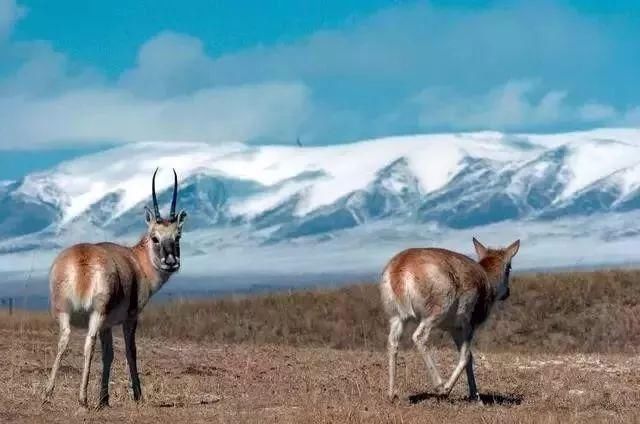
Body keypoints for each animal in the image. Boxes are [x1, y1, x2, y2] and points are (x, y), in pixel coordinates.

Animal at [43, 167, 185, 410]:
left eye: (177, 236)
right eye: (155, 237)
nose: (170, 262)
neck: (137, 262)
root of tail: (82, 258)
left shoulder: (107, 325)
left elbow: (108, 355)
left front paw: (104, 399)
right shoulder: (130, 318)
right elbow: (130, 351)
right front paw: (137, 396)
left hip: (64, 313)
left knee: (63, 341)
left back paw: (47, 395)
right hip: (96, 314)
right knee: (88, 345)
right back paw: (82, 399)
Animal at [380, 237, 520, 402]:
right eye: (509, 267)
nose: (508, 292)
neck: (486, 279)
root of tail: (401, 265)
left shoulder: (454, 330)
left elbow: (468, 357)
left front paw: (476, 397)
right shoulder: (468, 326)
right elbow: (466, 356)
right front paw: (450, 389)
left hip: (398, 317)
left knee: (392, 343)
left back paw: (391, 394)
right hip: (435, 314)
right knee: (419, 337)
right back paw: (440, 386)